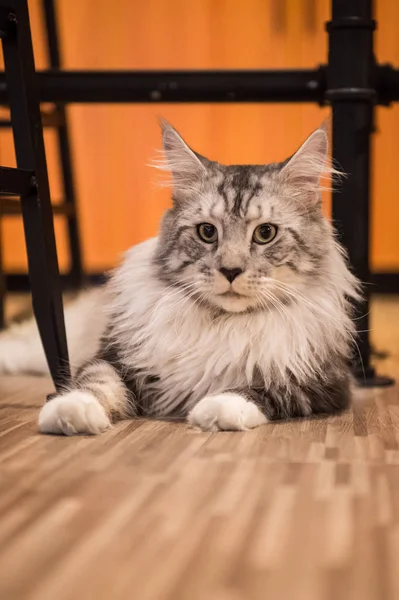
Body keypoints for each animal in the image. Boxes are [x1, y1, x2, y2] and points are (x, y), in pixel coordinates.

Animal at [0, 119, 360, 434]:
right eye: (207, 232)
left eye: (265, 233)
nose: (230, 271)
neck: (221, 324)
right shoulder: (113, 358)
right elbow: (95, 383)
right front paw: (69, 411)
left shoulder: (321, 383)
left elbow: (261, 390)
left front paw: (217, 409)